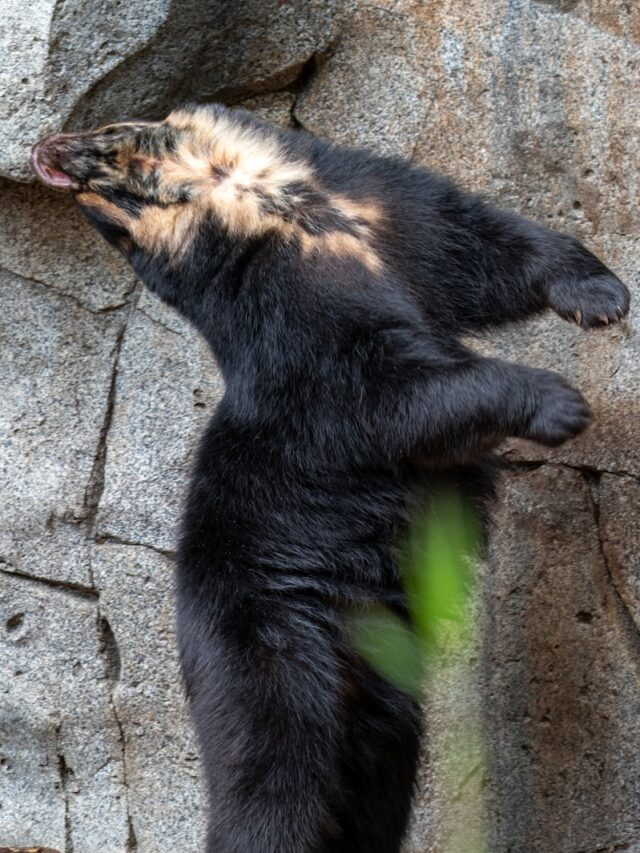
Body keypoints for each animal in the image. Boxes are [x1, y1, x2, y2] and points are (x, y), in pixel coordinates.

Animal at [32, 106, 628, 852]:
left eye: (99, 126)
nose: (40, 149)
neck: (264, 211)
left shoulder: (378, 213)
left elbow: (470, 242)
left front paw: (600, 294)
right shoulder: (288, 326)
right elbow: (384, 392)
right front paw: (557, 401)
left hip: (381, 677)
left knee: (375, 777)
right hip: (266, 642)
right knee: (276, 770)